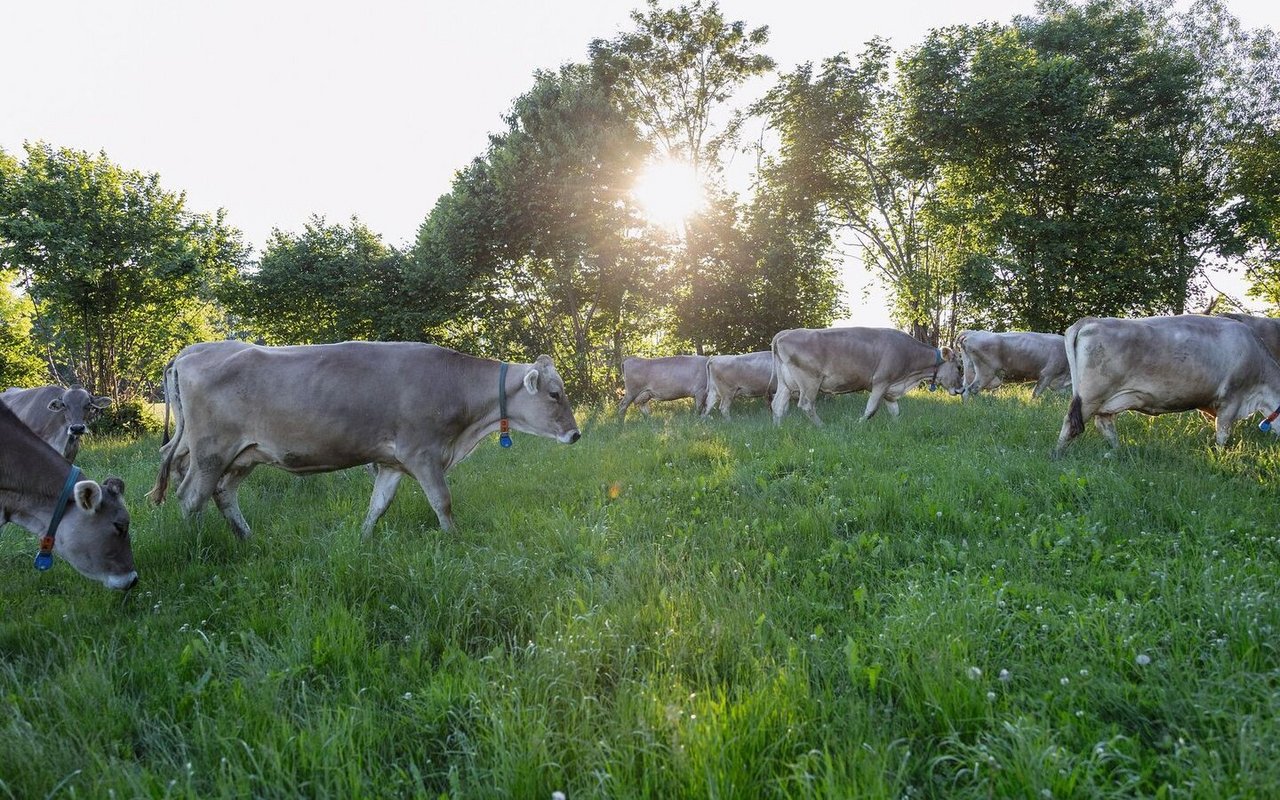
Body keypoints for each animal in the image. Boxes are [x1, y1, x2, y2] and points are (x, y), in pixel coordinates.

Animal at [151, 340, 586, 540]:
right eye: (554, 394)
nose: (576, 433)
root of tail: (193, 351)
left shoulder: (393, 462)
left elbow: (378, 505)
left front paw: (361, 539)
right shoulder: (423, 453)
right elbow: (442, 502)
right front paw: (455, 540)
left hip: (244, 455)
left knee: (222, 494)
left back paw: (247, 537)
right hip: (211, 450)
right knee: (192, 497)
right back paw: (197, 544)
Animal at [768, 326, 962, 427]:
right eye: (959, 367)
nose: (961, 389)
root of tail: (785, 333)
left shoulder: (890, 389)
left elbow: (895, 411)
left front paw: (897, 427)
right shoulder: (881, 382)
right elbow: (871, 409)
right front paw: (858, 424)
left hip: (786, 383)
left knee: (777, 405)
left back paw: (778, 428)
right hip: (810, 381)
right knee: (806, 405)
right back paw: (822, 427)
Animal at [1054, 313, 1280, 455]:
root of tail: (1091, 320)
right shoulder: (1231, 399)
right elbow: (1223, 434)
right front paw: (1220, 457)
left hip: (1108, 399)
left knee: (1104, 423)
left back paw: (1117, 451)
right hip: (1091, 395)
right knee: (1071, 423)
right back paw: (1057, 455)